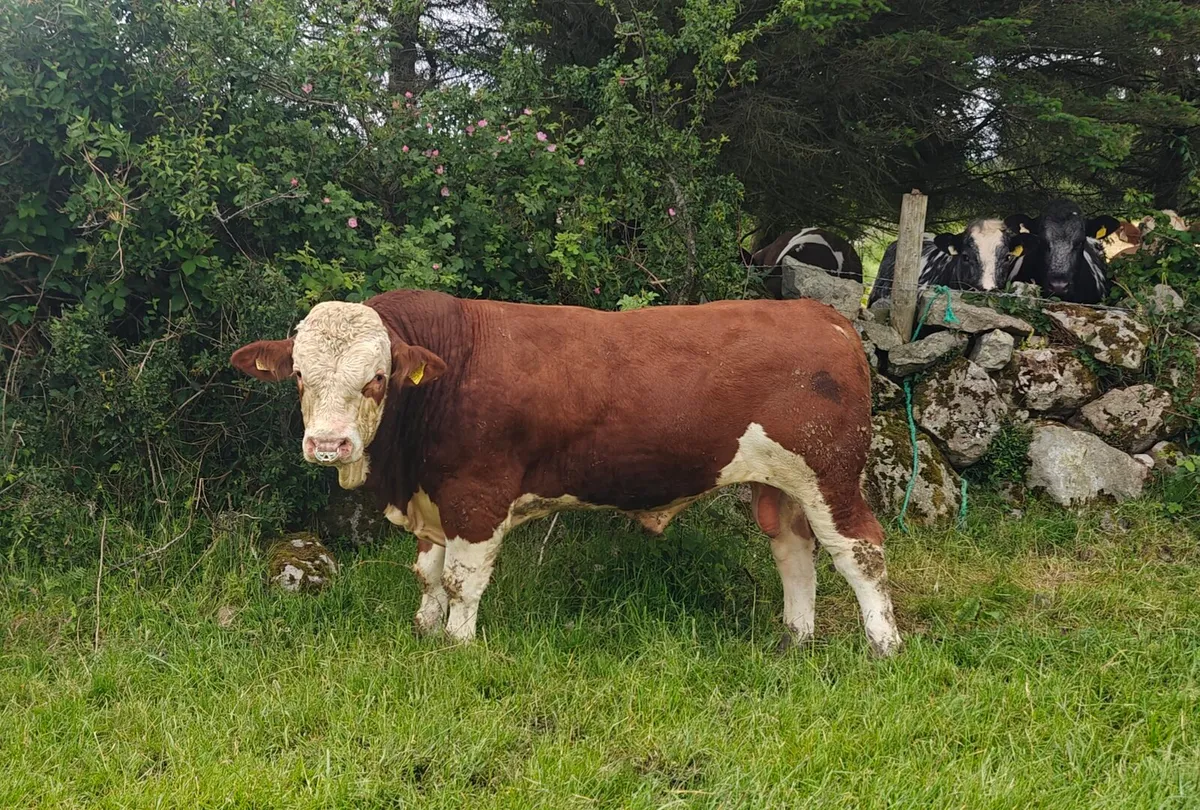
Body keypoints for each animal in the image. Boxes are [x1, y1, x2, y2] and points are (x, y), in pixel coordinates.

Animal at [231, 290, 902, 656]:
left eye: (377, 378)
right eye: (298, 375)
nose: (328, 444)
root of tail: (823, 316)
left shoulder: (476, 498)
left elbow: (461, 582)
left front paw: (456, 644)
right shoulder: (433, 501)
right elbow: (427, 572)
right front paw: (423, 628)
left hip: (832, 473)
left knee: (861, 551)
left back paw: (884, 646)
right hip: (782, 483)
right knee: (794, 553)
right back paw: (795, 639)